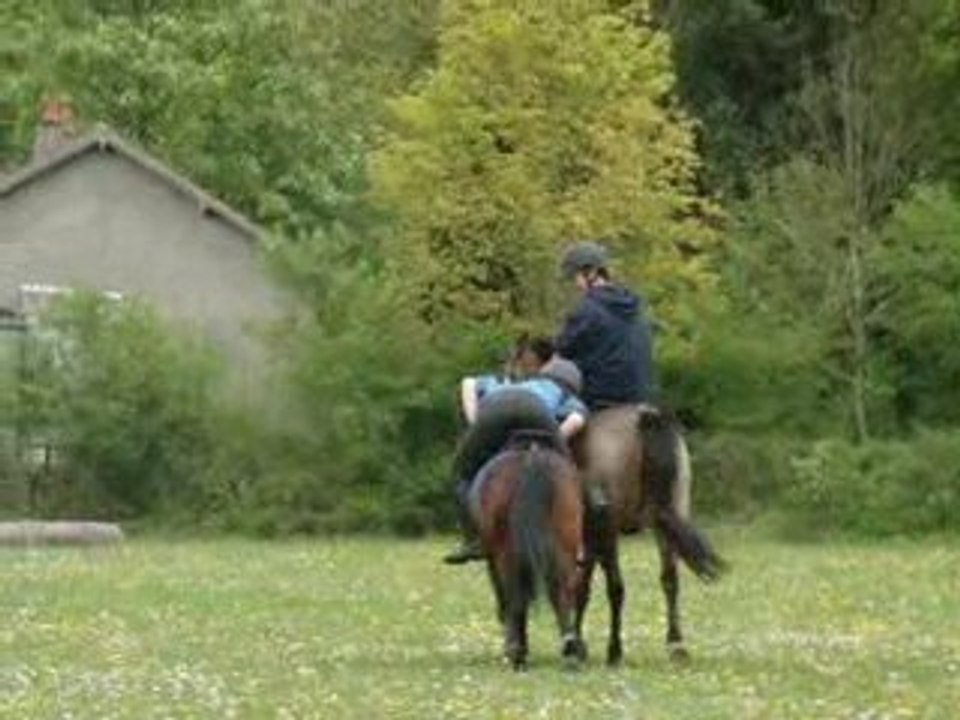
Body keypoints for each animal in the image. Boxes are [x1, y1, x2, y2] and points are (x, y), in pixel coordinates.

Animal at [469, 430, 587, 670]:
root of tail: (531, 457)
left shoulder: (494, 560)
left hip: (505, 554)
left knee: (514, 594)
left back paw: (516, 652)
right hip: (565, 544)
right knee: (561, 591)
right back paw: (570, 648)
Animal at [507, 337, 727, 665]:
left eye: (515, 366)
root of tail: (646, 417)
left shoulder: (591, 532)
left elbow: (584, 585)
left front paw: (578, 643)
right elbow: (582, 585)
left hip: (611, 528)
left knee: (617, 586)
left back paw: (615, 650)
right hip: (668, 517)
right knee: (669, 579)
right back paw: (675, 645)